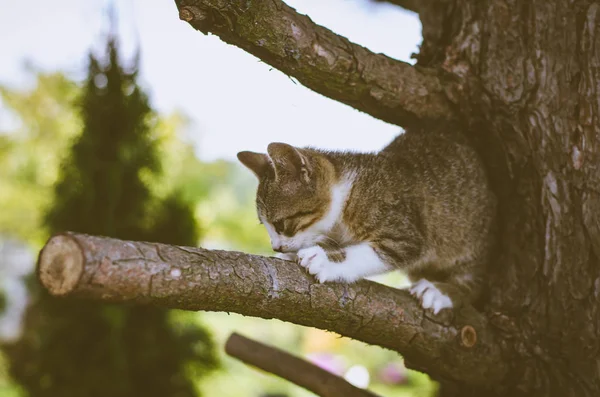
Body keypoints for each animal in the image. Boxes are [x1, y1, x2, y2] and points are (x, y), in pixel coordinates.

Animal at [237, 129, 494, 312]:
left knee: (476, 283)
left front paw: (323, 259)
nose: (276, 246)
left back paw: (442, 291)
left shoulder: (404, 233)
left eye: (280, 224)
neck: (348, 193)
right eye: (265, 226)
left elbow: (371, 253)